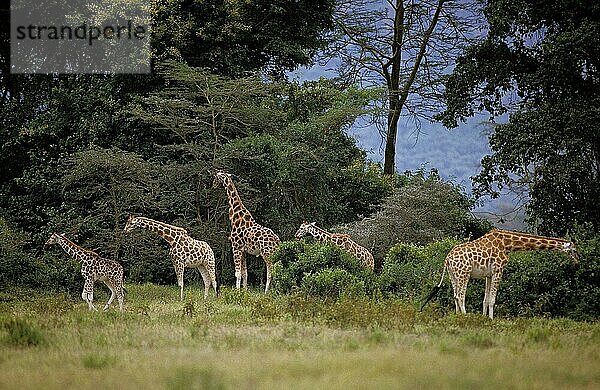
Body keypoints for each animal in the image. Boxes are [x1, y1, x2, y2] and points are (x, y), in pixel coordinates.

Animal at [420, 230, 580, 318]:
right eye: (573, 251)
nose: (578, 263)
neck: (508, 244)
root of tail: (447, 259)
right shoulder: (499, 269)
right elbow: (492, 299)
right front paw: (491, 320)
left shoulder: (488, 274)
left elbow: (485, 300)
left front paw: (484, 319)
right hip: (464, 273)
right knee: (460, 296)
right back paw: (465, 317)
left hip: (453, 275)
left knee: (455, 295)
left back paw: (457, 316)